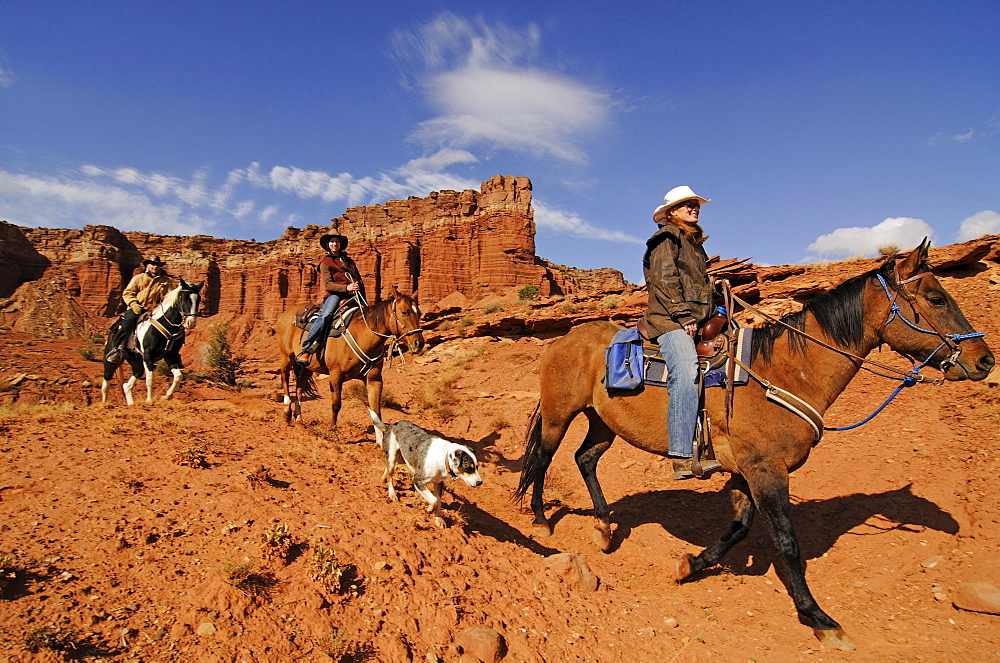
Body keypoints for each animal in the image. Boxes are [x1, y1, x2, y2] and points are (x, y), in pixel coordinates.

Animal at [100, 276, 204, 404]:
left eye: (198, 299)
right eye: (184, 298)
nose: (191, 323)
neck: (166, 324)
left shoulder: (171, 355)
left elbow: (178, 376)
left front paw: (166, 396)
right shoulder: (148, 354)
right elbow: (150, 379)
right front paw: (149, 400)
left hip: (136, 363)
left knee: (126, 385)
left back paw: (131, 404)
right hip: (110, 362)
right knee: (105, 384)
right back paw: (104, 404)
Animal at [276, 286, 424, 430]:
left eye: (419, 313)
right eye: (404, 312)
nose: (419, 343)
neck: (363, 336)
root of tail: (286, 313)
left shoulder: (374, 379)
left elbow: (376, 412)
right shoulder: (335, 375)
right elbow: (336, 404)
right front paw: (332, 429)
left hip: (308, 367)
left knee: (299, 387)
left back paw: (299, 420)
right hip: (287, 356)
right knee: (285, 377)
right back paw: (287, 413)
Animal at [516, 243, 992, 648]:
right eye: (935, 298)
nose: (984, 360)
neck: (786, 371)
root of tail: (562, 340)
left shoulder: (747, 471)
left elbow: (740, 528)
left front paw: (692, 565)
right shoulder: (767, 470)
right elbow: (787, 543)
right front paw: (818, 618)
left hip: (603, 422)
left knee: (585, 458)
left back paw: (604, 526)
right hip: (559, 414)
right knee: (542, 458)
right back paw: (540, 519)